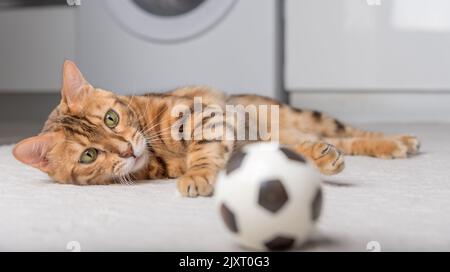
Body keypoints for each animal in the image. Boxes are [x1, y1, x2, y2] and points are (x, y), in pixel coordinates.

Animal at [12, 61, 420, 197]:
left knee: (345, 132)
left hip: (303, 115)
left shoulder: (204, 115)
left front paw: (198, 175)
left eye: (111, 118)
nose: (128, 149)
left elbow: (205, 150)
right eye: (89, 155)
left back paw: (398, 141)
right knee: (329, 140)